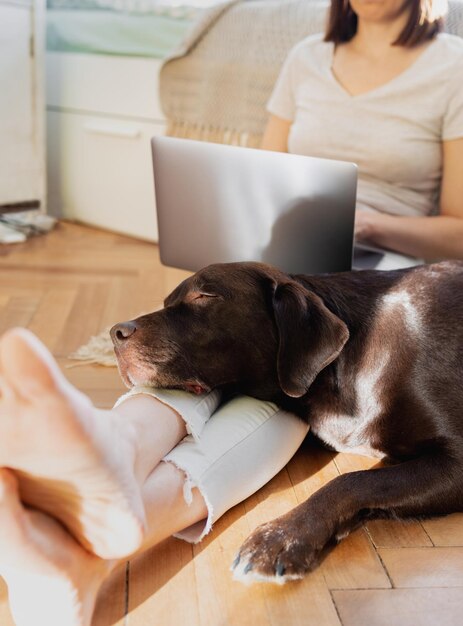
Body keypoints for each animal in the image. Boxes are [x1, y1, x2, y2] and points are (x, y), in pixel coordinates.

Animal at [111, 258, 463, 580]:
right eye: (166, 303)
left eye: (204, 296)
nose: (115, 333)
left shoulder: (456, 461)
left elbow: (353, 481)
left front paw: (282, 538)